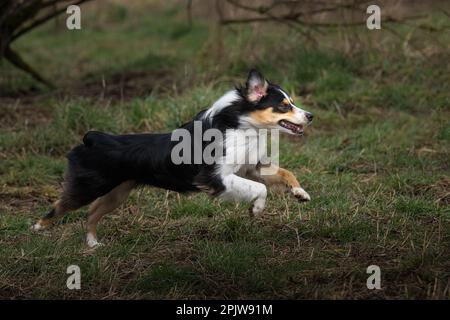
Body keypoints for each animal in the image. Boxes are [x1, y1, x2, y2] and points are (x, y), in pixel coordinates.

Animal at [32, 69, 312, 248]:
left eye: (292, 102)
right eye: (284, 106)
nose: (311, 116)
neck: (242, 125)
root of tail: (94, 138)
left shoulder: (251, 166)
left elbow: (285, 173)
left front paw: (300, 193)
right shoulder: (216, 177)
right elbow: (260, 188)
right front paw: (256, 209)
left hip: (117, 193)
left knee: (92, 213)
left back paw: (92, 244)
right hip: (89, 187)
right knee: (60, 206)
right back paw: (37, 228)